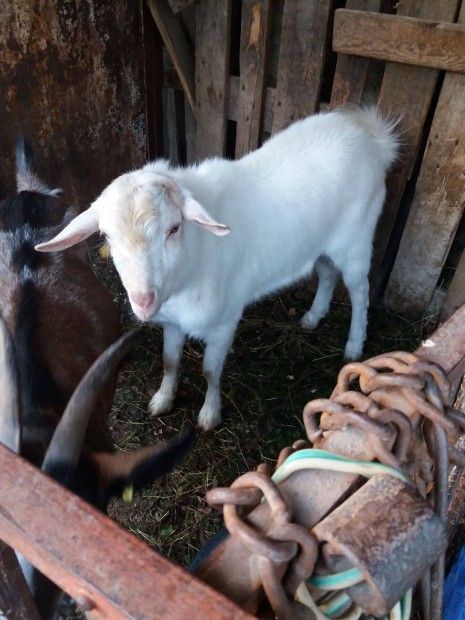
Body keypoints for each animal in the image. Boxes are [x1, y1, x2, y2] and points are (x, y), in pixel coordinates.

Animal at [36, 106, 398, 428]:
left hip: (356, 238)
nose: (143, 301)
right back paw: (312, 317)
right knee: (326, 272)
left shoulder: (225, 319)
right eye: (107, 236)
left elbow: (210, 370)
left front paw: (209, 415)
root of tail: (370, 135)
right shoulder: (173, 321)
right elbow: (169, 361)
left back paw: (354, 345)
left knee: (360, 290)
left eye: (174, 228)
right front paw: (163, 400)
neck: (193, 264)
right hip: (322, 242)